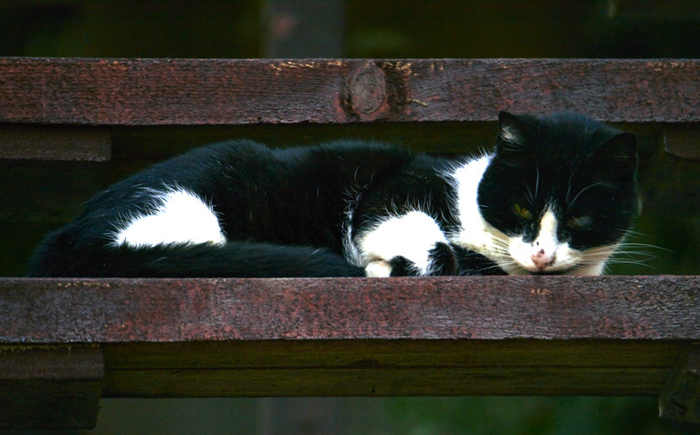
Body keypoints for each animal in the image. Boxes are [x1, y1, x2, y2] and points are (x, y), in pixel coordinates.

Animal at [27, 111, 639, 278]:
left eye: (580, 221)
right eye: (521, 208)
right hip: (189, 204)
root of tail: (62, 236)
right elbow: (423, 240)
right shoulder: (393, 191)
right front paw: (384, 264)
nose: (541, 254)